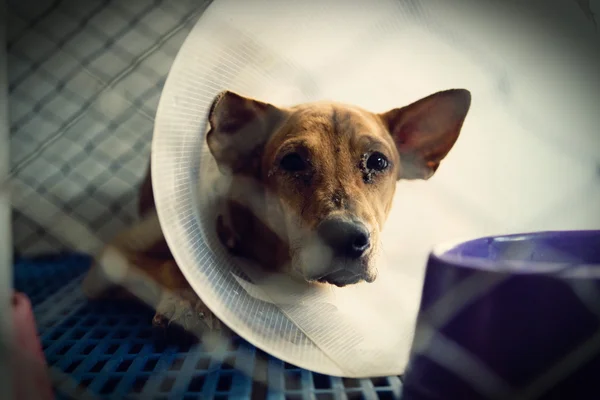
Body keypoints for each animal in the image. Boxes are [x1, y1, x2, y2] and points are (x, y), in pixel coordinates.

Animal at [82, 88, 472, 338]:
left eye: (378, 162)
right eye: (293, 161)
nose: (349, 237)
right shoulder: (111, 260)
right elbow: (170, 266)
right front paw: (189, 300)